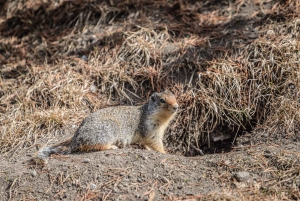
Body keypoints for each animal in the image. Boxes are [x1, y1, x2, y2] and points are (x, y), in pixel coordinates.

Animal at [34, 90, 178, 164]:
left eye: (175, 97)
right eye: (162, 100)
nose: (176, 106)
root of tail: (76, 138)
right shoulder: (150, 128)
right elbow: (155, 143)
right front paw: (165, 152)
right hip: (108, 130)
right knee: (95, 146)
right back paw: (112, 147)